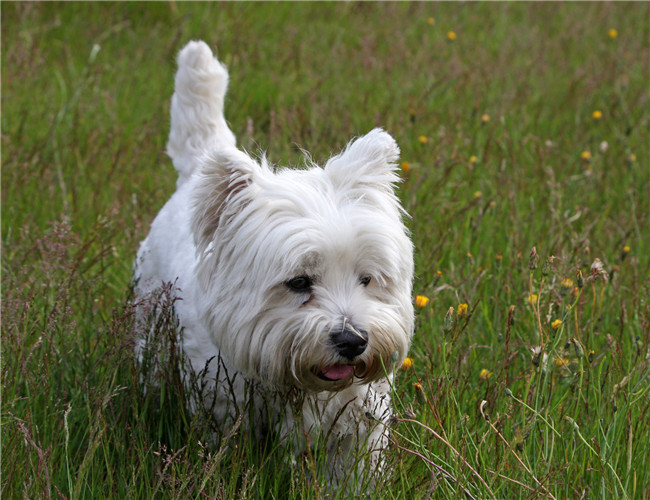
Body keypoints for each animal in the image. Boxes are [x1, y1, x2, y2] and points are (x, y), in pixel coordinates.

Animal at [134, 41, 412, 486]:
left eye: (367, 279)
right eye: (298, 282)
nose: (353, 341)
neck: (300, 385)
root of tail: (195, 173)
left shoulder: (358, 427)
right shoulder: (224, 414)